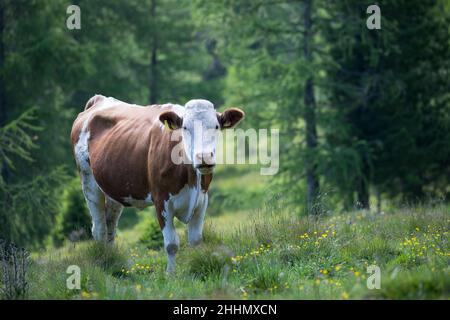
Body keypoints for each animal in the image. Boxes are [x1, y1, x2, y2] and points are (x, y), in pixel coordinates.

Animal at [71, 95, 246, 272]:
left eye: (216, 126)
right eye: (185, 127)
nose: (204, 157)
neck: (190, 178)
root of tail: (99, 99)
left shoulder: (202, 200)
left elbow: (196, 240)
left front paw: (197, 265)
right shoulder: (161, 200)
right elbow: (171, 244)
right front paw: (171, 273)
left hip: (114, 187)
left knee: (110, 226)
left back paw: (112, 260)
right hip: (88, 181)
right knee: (99, 229)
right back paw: (103, 265)